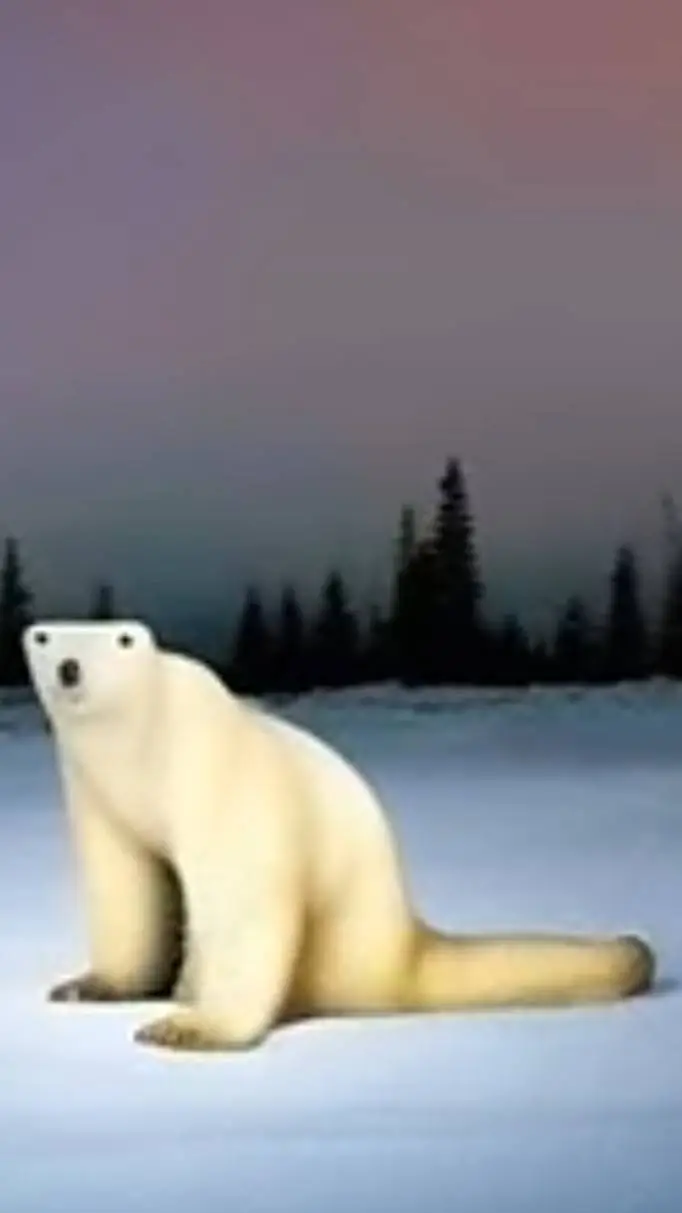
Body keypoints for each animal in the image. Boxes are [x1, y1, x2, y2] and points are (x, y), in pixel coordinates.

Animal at [23, 620, 655, 1053]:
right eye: (44, 638)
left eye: (121, 640)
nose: (70, 668)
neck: (143, 750)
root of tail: (402, 942)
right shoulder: (100, 796)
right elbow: (128, 882)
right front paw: (87, 985)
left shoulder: (218, 773)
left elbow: (245, 895)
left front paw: (187, 1026)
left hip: (340, 938)